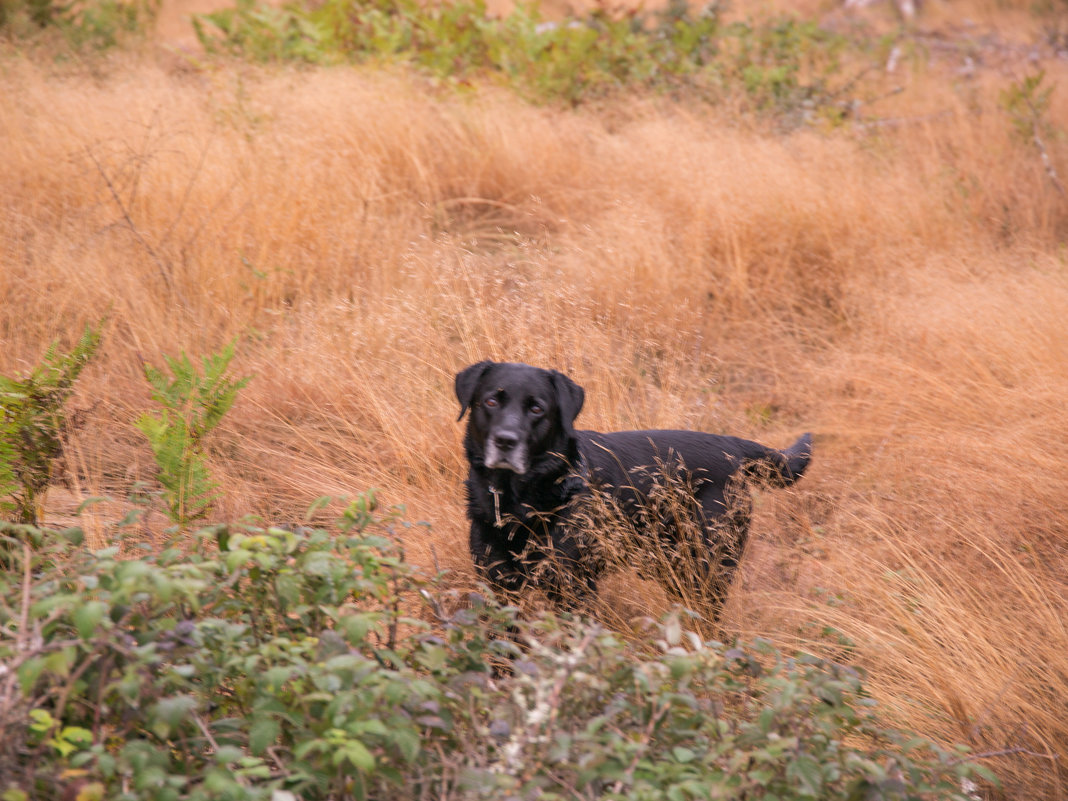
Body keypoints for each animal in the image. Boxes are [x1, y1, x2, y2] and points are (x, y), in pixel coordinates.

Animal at [450, 363, 807, 615]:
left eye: (537, 408)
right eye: (491, 401)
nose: (505, 441)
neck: (518, 499)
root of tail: (733, 447)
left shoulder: (574, 589)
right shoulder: (499, 585)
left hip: (707, 570)